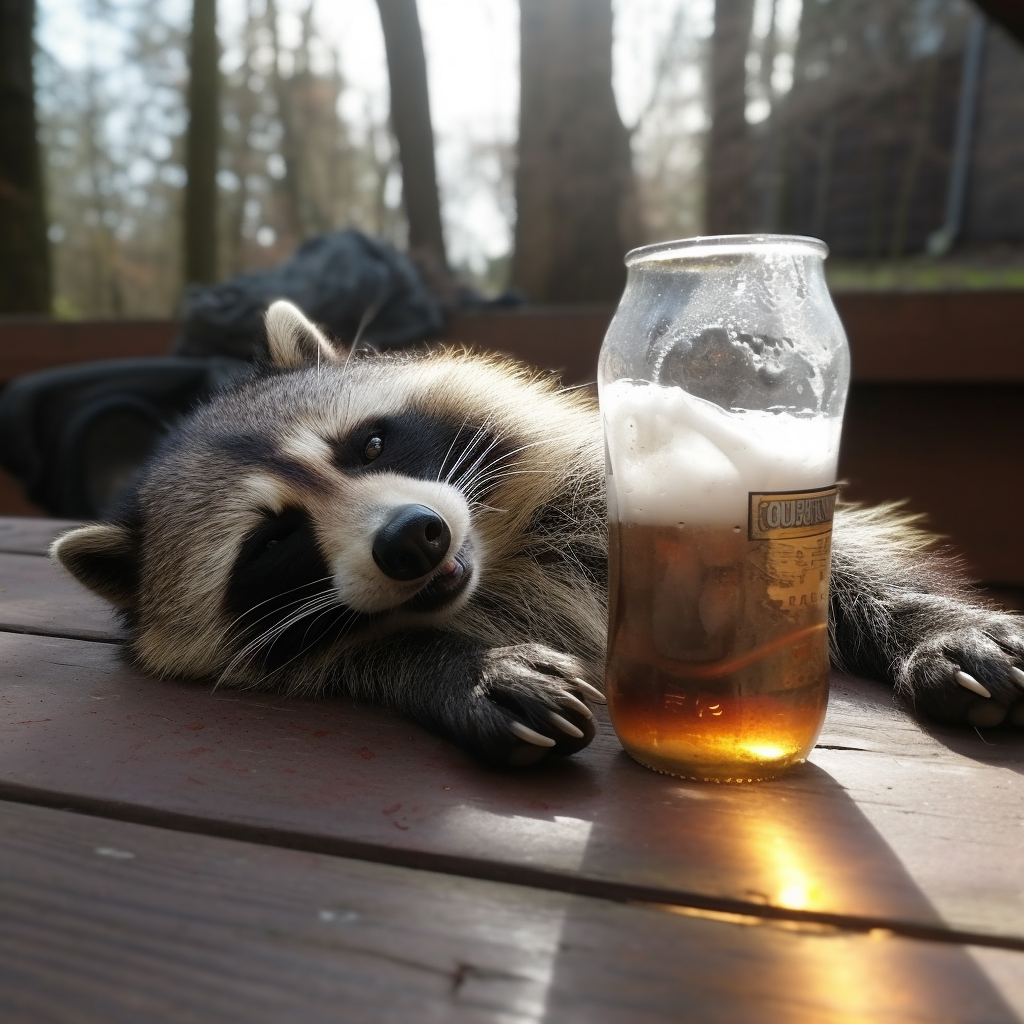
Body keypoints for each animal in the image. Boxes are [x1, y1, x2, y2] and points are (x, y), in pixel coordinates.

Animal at [54, 299, 1024, 765]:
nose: (414, 540)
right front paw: (460, 665)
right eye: (274, 542)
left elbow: (819, 568)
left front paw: (928, 621)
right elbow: (372, 654)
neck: (493, 568)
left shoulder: (598, 499)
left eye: (369, 444)